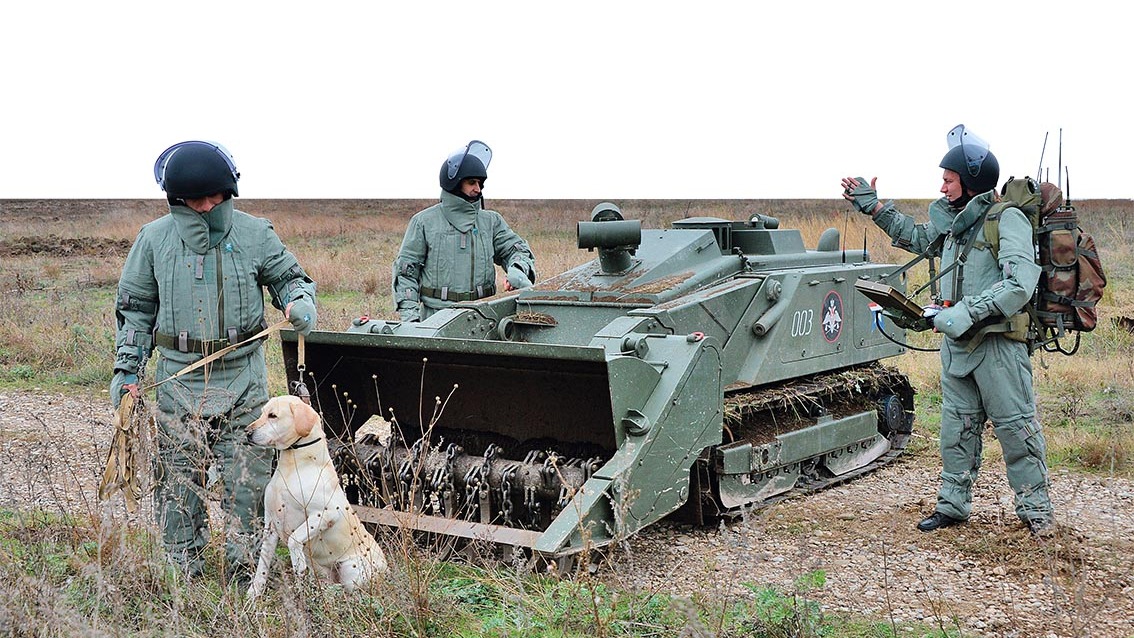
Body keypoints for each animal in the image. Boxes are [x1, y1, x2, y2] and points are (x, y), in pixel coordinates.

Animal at [243, 394, 385, 598]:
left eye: (273, 415)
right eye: (262, 413)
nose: (246, 432)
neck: (293, 465)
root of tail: (386, 568)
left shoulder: (326, 514)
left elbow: (294, 539)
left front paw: (298, 563)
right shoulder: (270, 525)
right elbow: (262, 566)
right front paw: (253, 595)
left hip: (351, 570)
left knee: (350, 592)